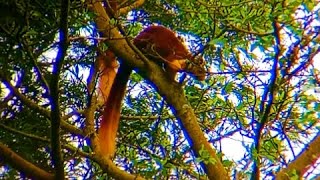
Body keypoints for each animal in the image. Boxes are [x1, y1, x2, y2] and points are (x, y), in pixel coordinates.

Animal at [98, 25, 208, 158]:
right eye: (201, 71)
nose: (204, 77)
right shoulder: (175, 56)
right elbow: (172, 64)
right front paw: (174, 77)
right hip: (144, 41)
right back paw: (147, 53)